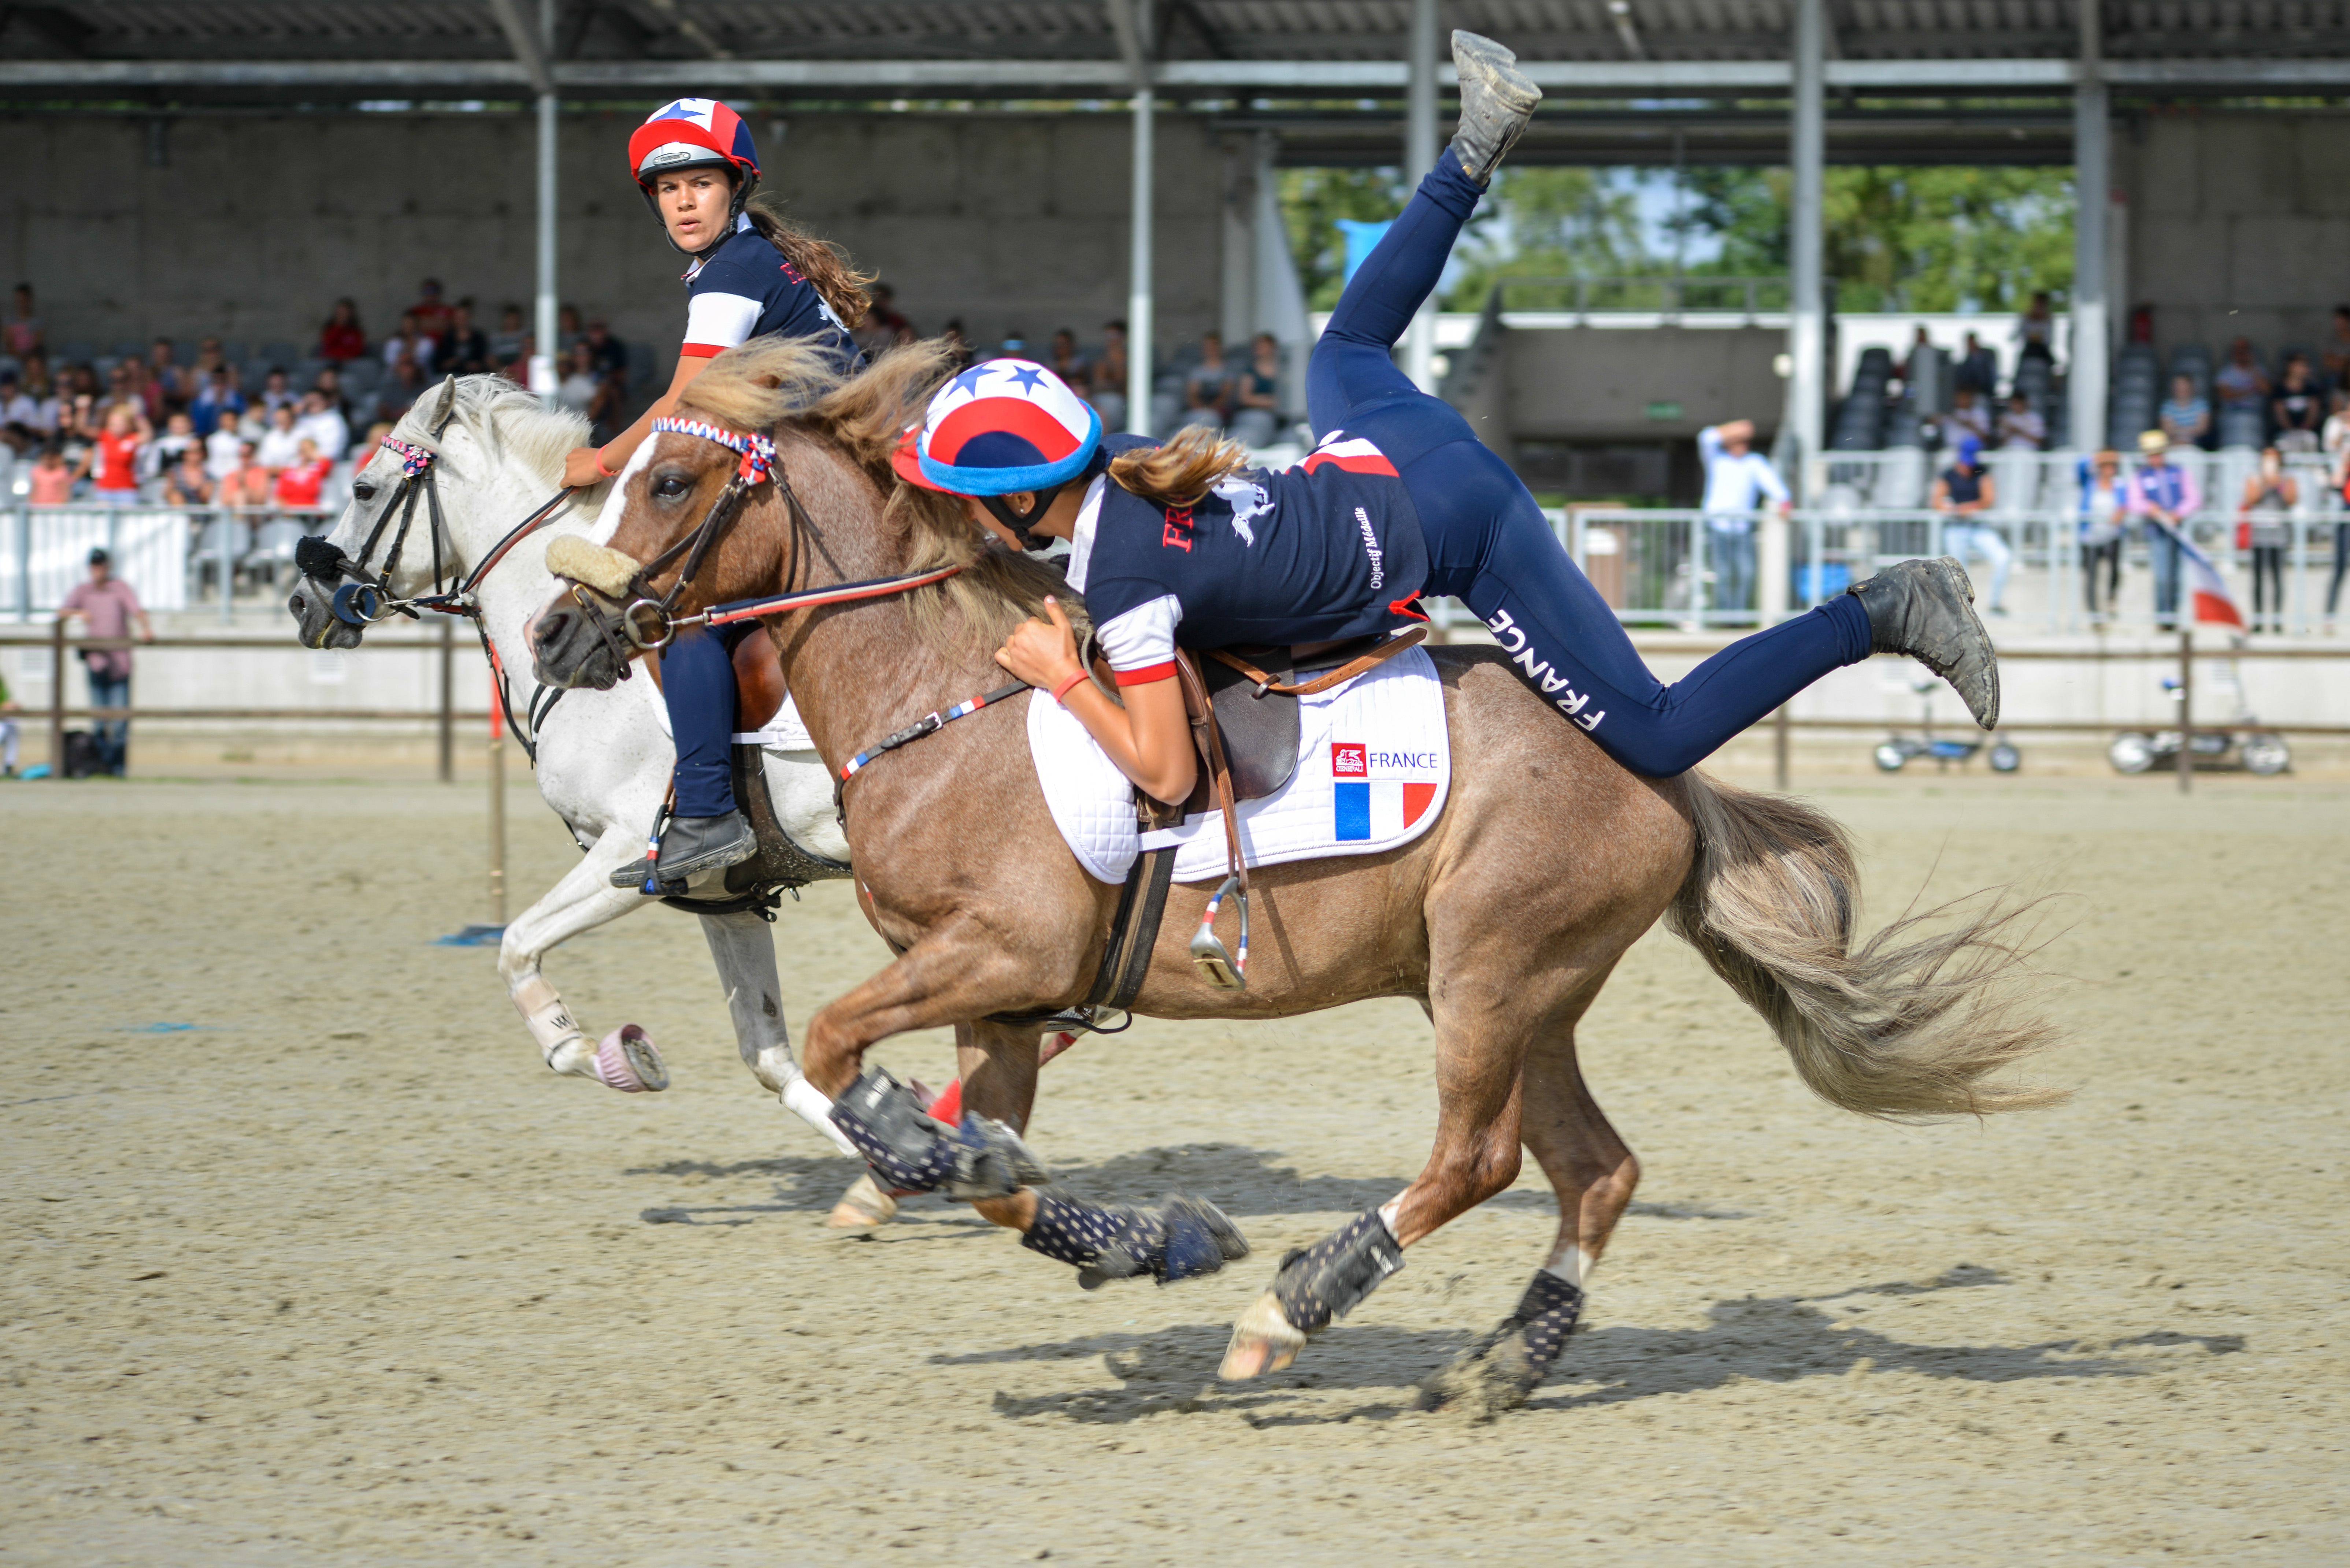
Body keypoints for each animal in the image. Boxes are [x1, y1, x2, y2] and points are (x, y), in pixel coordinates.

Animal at [286, 374, 874, 1171]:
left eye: (363, 487)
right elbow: (770, 1056)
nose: (300, 601)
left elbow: (516, 946)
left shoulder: (628, 850)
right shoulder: (725, 895)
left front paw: (605, 1055)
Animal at [529, 338, 2058, 1420]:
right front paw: (1135, 1236)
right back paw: (1504, 1359)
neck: (941, 699)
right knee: (1592, 1169)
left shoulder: (1002, 952)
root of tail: (1655, 774)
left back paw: (1297, 1305)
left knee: (1480, 1157)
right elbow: (996, 1176)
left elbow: (852, 1053)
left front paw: (925, 1151)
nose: (553, 631)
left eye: (669, 482)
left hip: (1493, 972)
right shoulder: (1003, 1004)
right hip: (1521, 988)